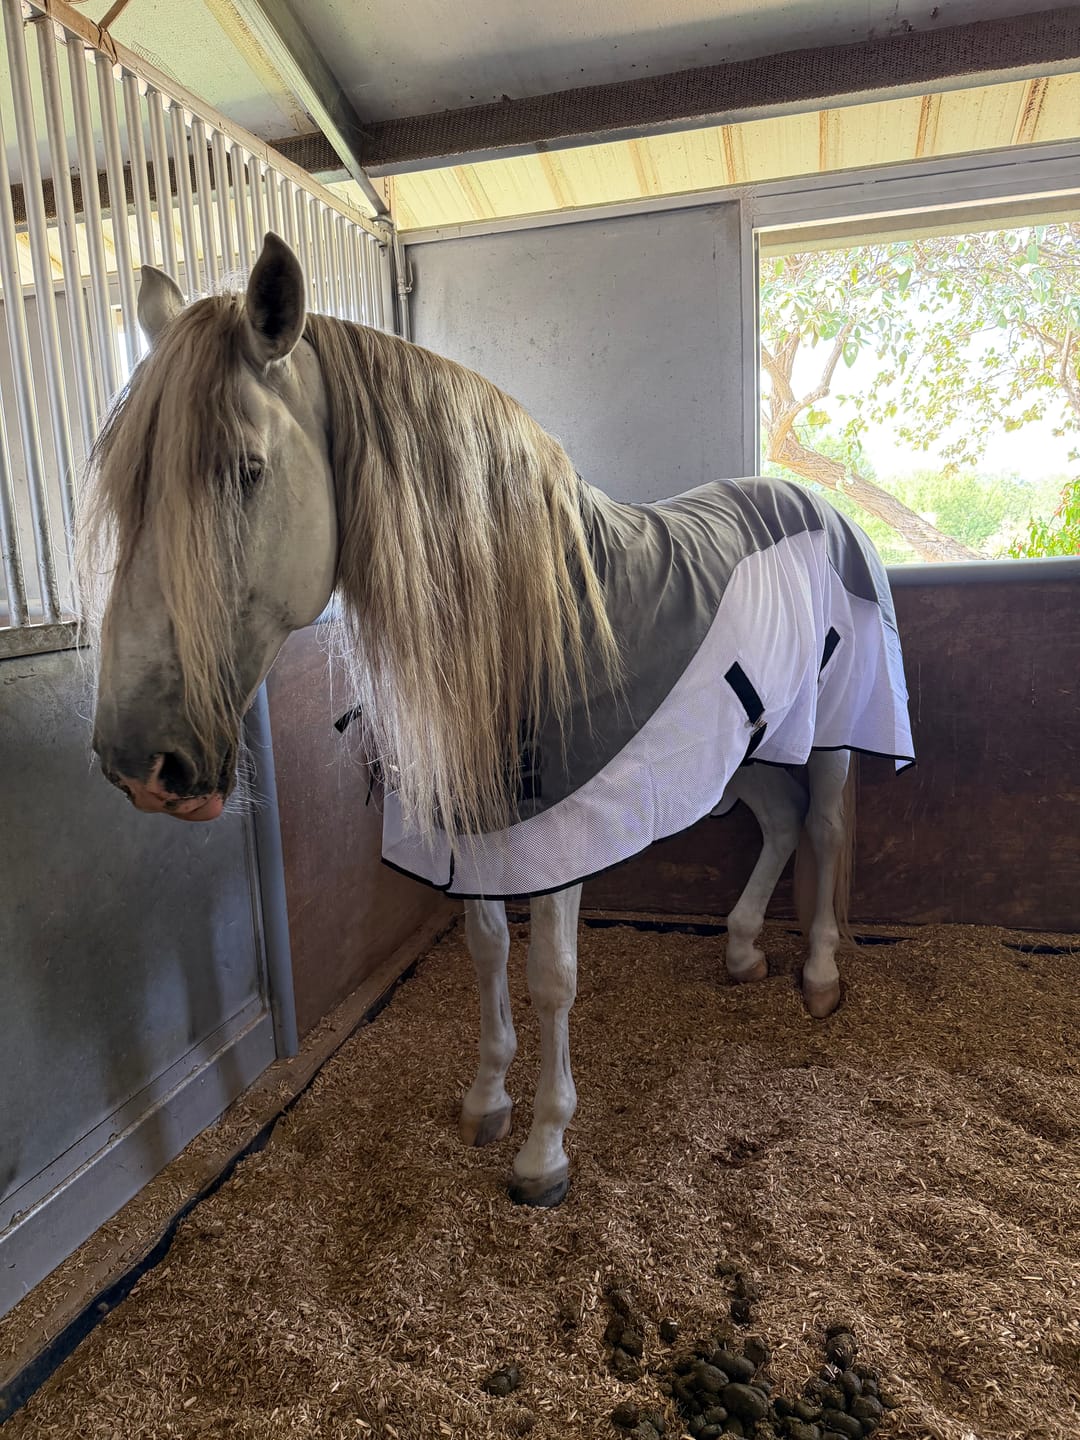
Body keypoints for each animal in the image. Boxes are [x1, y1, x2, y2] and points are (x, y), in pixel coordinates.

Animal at [83, 233, 914, 1208]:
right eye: (126, 488)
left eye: (247, 470)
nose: (140, 761)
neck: (521, 618)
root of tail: (817, 505)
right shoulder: (469, 818)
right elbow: (484, 949)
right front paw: (486, 1101)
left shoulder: (561, 828)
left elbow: (552, 978)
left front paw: (546, 1149)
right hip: (740, 748)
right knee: (781, 824)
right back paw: (744, 954)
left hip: (830, 734)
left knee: (820, 827)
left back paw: (818, 976)